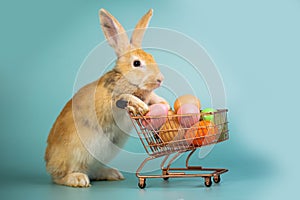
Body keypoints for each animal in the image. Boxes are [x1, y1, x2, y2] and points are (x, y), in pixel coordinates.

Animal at [44, 8, 169, 188]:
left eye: (151, 57)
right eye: (136, 63)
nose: (160, 79)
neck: (124, 78)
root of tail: (49, 163)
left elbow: (152, 97)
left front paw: (163, 103)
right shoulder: (113, 100)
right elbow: (125, 97)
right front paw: (140, 105)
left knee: (93, 171)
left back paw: (113, 174)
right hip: (75, 155)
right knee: (60, 177)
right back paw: (78, 179)